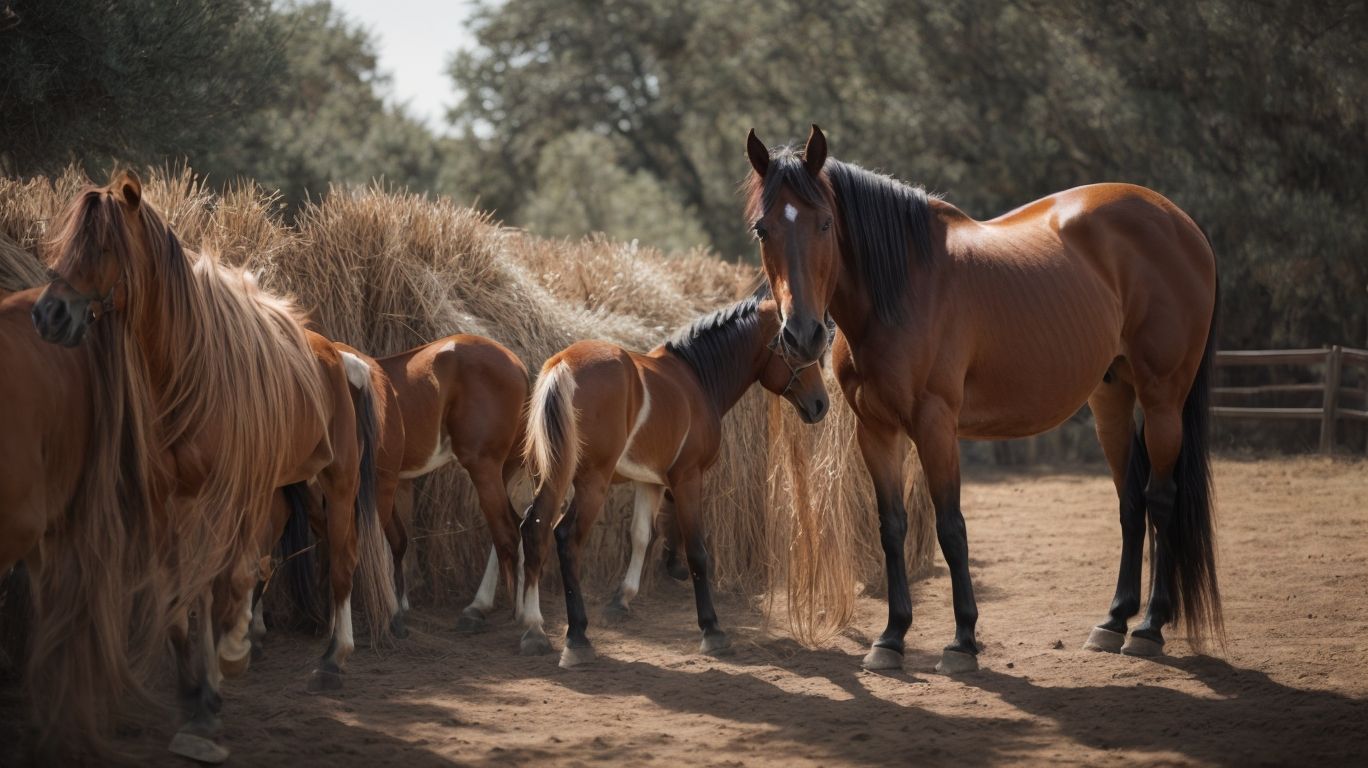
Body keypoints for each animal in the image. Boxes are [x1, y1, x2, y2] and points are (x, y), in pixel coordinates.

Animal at [32, 171, 392, 763]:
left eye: (103, 247)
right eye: (63, 244)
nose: (48, 315)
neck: (188, 372)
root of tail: (339, 358)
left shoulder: (228, 496)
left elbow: (231, 581)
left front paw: (230, 659)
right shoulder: (169, 503)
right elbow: (183, 598)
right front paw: (197, 702)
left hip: (334, 488)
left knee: (340, 563)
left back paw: (332, 662)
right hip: (293, 491)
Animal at [519, 294, 829, 667]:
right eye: (795, 349)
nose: (821, 404)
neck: (696, 378)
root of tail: (562, 364)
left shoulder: (649, 483)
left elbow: (641, 536)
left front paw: (621, 600)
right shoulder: (687, 478)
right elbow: (697, 550)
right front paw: (711, 629)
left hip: (551, 475)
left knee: (534, 528)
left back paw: (534, 629)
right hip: (591, 483)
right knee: (566, 537)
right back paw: (576, 636)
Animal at [743, 125, 1222, 674]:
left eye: (825, 223)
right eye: (763, 230)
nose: (802, 336)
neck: (902, 289)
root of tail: (1182, 224)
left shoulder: (935, 425)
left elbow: (952, 528)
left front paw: (962, 641)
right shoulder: (876, 429)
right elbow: (891, 528)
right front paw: (891, 637)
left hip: (1163, 398)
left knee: (1160, 499)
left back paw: (1149, 628)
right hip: (1112, 399)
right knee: (1130, 502)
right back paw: (1114, 620)